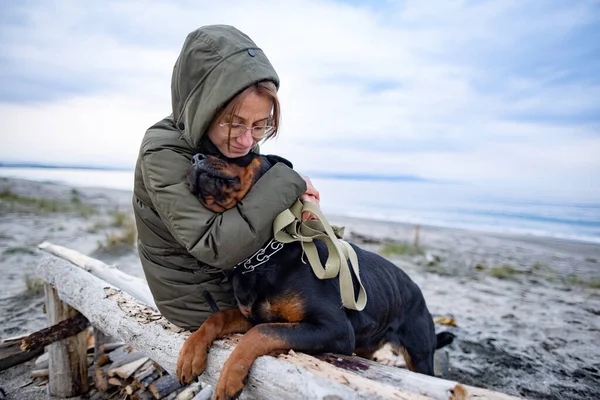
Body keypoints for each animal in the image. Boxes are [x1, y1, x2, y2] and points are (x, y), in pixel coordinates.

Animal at [177, 152, 454, 398]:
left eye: (240, 154)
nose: (195, 158)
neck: (263, 256)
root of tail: (417, 290)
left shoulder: (334, 329)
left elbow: (263, 332)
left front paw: (229, 378)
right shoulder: (252, 316)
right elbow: (218, 317)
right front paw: (191, 352)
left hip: (419, 355)